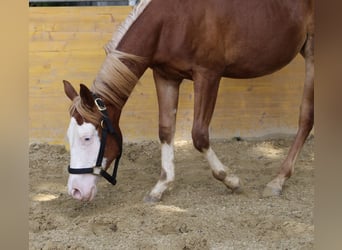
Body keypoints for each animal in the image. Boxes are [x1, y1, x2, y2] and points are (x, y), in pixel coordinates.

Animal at [62, 0, 314, 202]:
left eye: (87, 138)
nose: (75, 191)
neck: (174, 19)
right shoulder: (166, 77)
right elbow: (165, 130)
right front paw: (161, 186)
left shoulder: (208, 75)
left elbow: (199, 135)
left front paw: (230, 180)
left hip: (312, 52)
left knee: (306, 117)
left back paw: (278, 180)